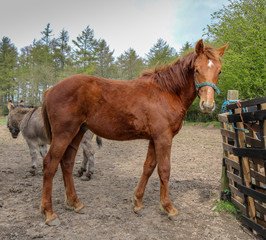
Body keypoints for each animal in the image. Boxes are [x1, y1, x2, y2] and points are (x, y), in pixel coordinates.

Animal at [40, 39, 228, 225]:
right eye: (197, 69)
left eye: (219, 71)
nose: (207, 105)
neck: (166, 92)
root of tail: (50, 90)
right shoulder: (163, 138)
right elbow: (164, 170)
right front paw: (168, 207)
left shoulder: (154, 139)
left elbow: (149, 167)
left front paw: (137, 202)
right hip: (64, 134)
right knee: (50, 164)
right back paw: (49, 213)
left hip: (77, 133)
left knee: (67, 163)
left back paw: (75, 203)